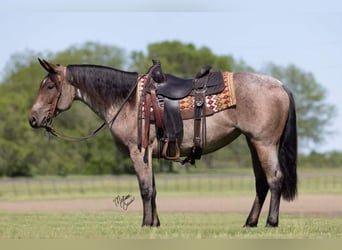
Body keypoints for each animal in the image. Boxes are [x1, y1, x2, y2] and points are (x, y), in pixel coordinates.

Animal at [29, 59, 296, 229]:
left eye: (50, 86)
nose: (33, 118)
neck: (128, 101)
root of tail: (280, 85)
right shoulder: (148, 153)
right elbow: (154, 188)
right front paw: (155, 223)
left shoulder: (138, 152)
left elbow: (145, 189)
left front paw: (146, 224)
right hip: (253, 143)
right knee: (261, 183)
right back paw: (250, 223)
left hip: (264, 143)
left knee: (275, 180)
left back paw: (271, 223)